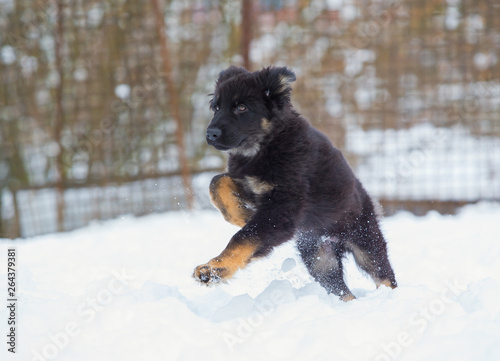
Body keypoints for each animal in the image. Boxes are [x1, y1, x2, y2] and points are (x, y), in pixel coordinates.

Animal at [193, 66, 396, 300]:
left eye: (241, 107)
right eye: (216, 108)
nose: (210, 134)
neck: (264, 146)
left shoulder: (282, 207)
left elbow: (245, 237)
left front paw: (214, 269)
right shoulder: (254, 187)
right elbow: (217, 182)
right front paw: (242, 215)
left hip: (365, 242)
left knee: (384, 275)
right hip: (319, 259)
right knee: (344, 292)